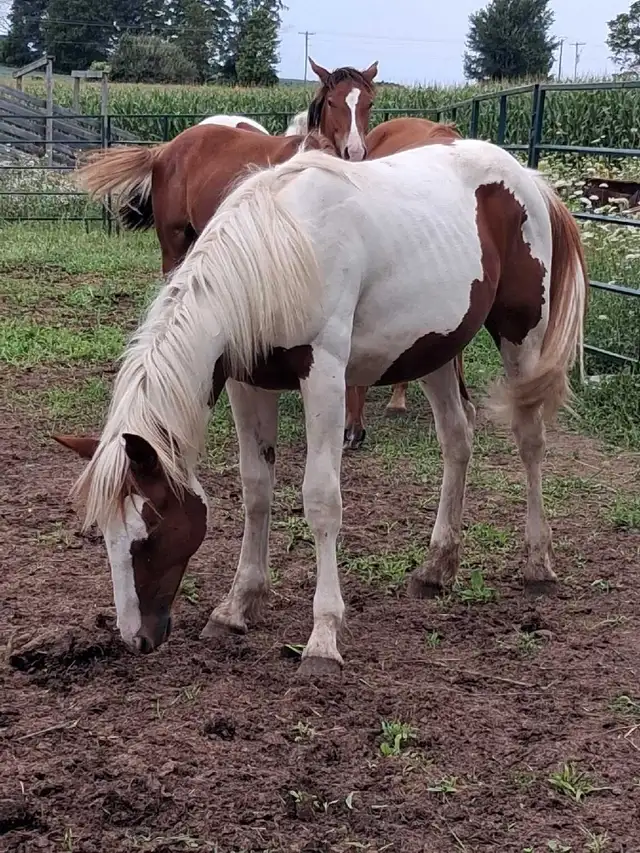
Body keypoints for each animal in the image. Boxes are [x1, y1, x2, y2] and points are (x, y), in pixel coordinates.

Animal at [55, 137, 587, 677]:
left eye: (151, 531)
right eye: (104, 532)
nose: (136, 638)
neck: (280, 251)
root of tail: (527, 178)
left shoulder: (325, 376)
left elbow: (321, 500)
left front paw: (323, 637)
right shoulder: (248, 384)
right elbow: (256, 489)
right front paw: (237, 606)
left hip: (521, 334)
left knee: (529, 438)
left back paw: (537, 563)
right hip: (435, 348)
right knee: (457, 439)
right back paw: (437, 567)